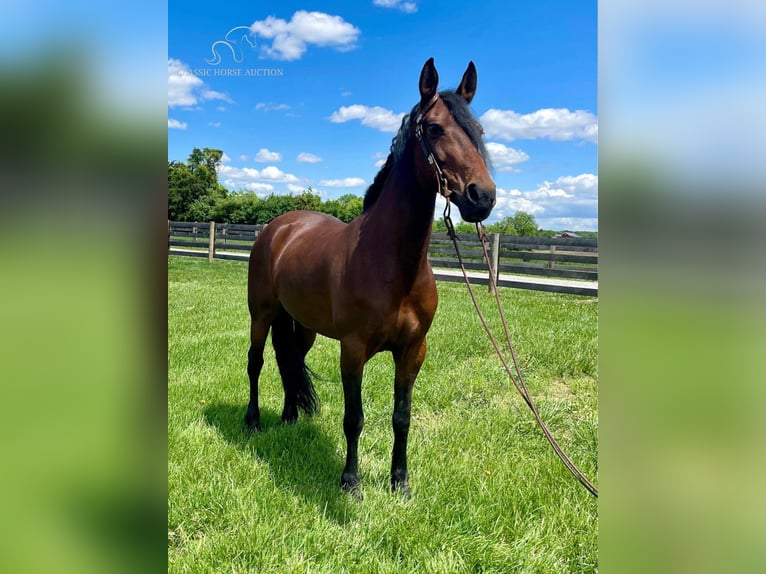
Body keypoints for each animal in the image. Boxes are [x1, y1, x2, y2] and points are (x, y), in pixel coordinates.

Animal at [248, 59, 498, 500]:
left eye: (479, 131)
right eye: (435, 128)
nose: (481, 197)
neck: (392, 265)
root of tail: (278, 228)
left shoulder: (413, 350)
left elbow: (402, 417)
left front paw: (401, 482)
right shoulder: (352, 350)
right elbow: (354, 418)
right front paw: (350, 483)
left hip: (302, 326)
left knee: (289, 360)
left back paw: (290, 418)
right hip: (260, 315)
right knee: (256, 361)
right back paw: (254, 421)